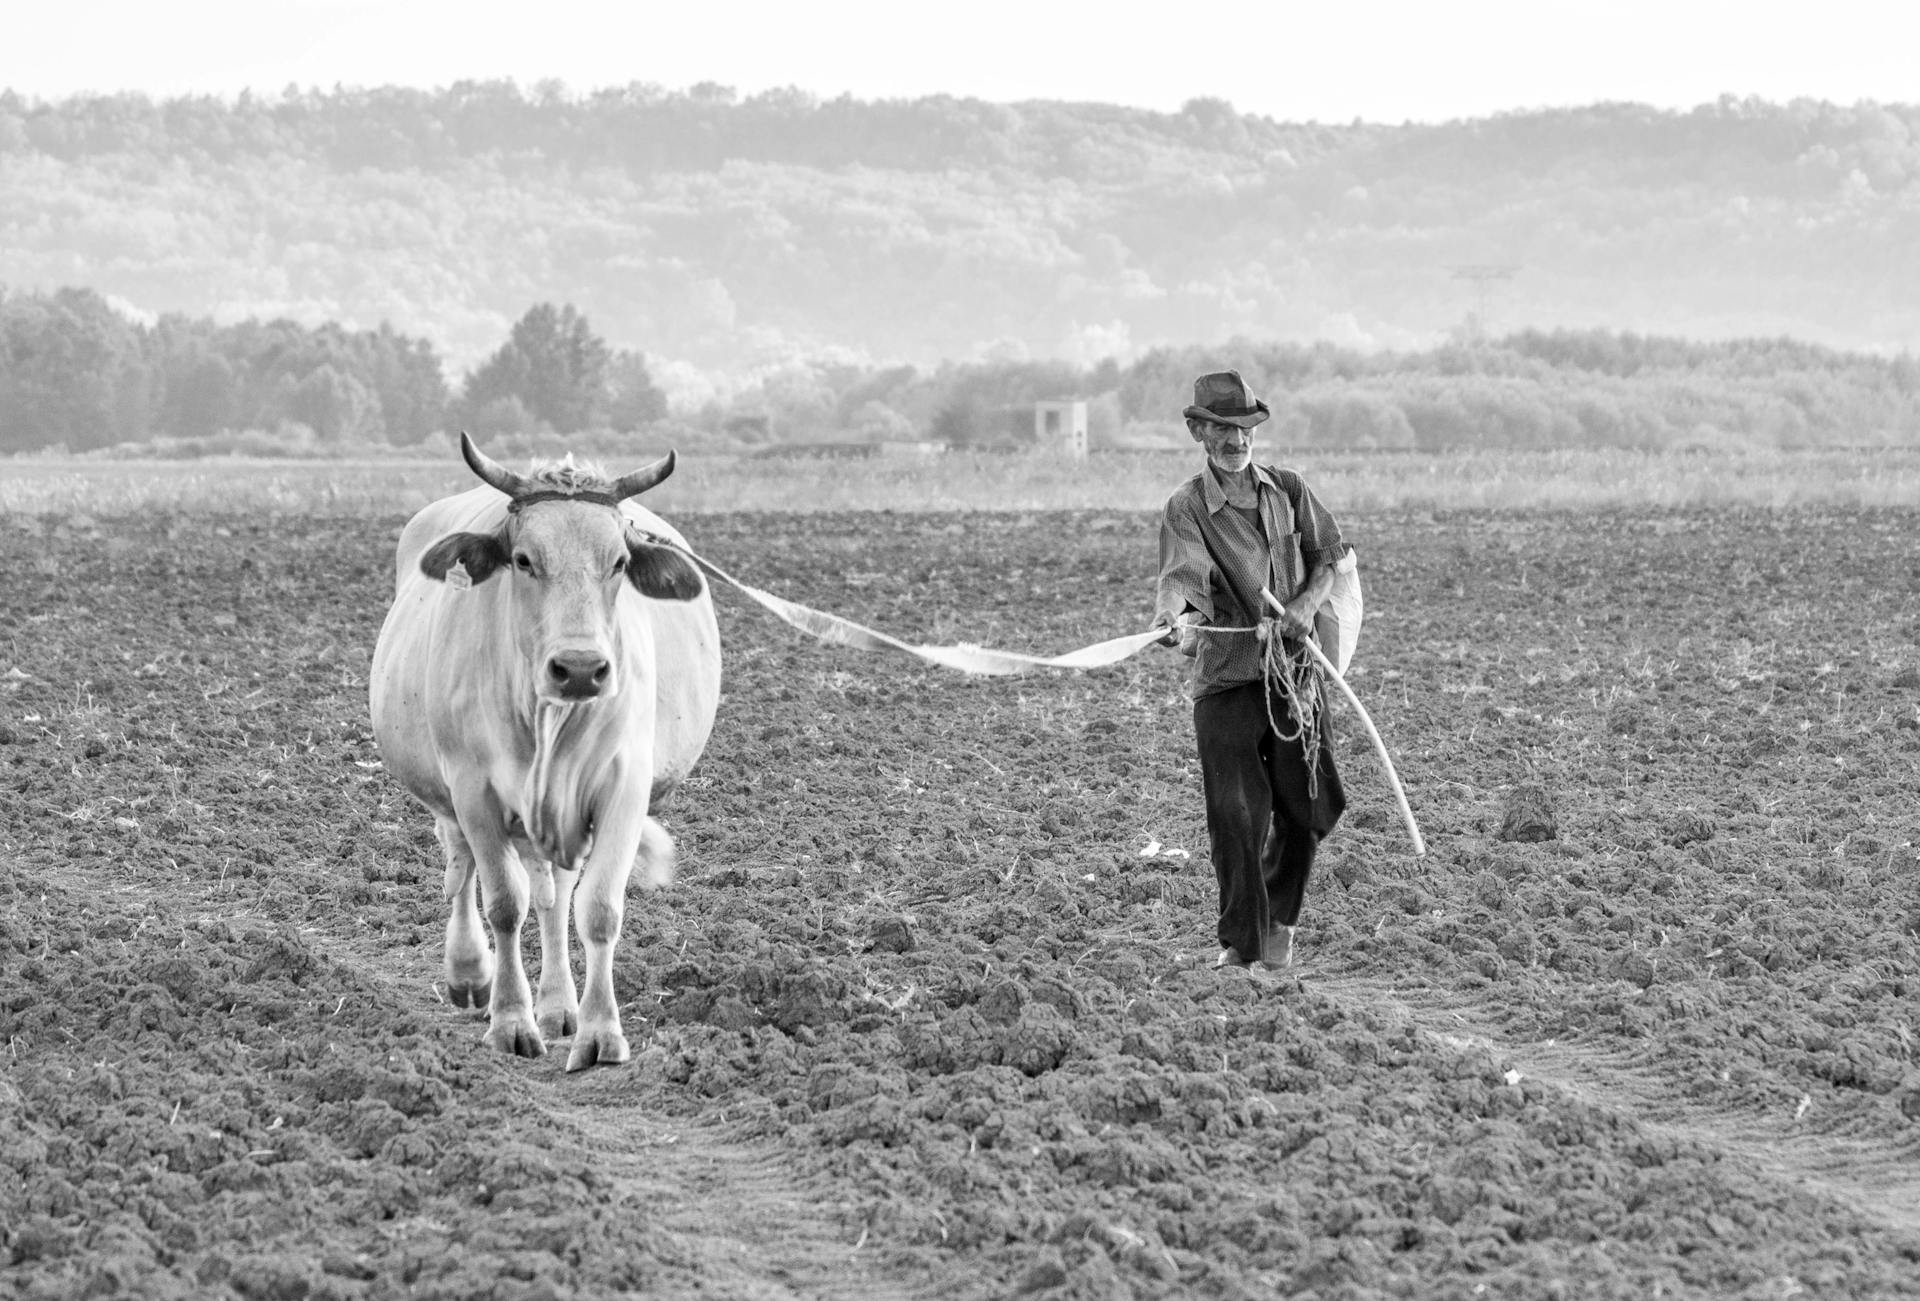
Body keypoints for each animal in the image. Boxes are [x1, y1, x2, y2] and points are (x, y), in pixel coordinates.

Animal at [366, 433, 721, 1074]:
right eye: (526, 559)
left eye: (619, 562)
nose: (580, 668)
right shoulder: (473, 792)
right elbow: (504, 902)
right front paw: (510, 1019)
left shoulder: (622, 792)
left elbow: (598, 908)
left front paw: (600, 1031)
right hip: (448, 798)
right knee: (463, 871)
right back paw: (470, 974)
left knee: (555, 897)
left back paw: (559, 1005)